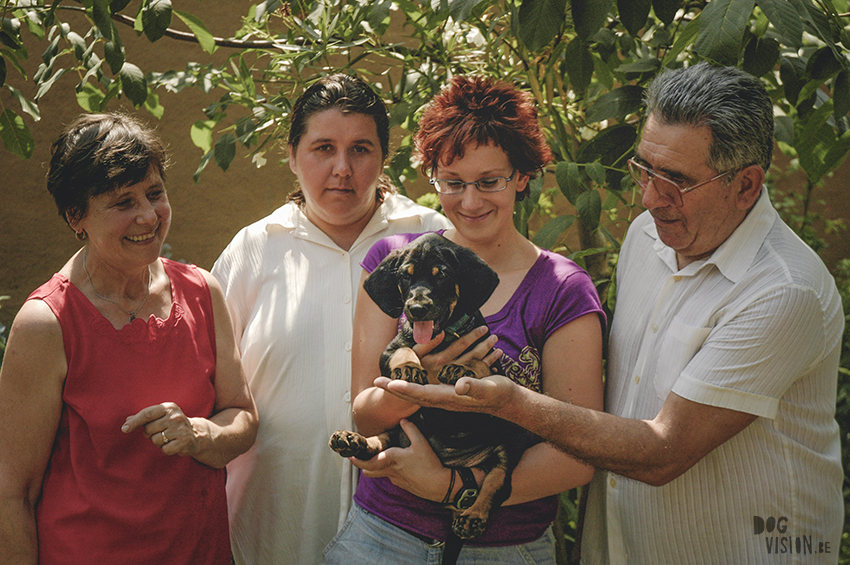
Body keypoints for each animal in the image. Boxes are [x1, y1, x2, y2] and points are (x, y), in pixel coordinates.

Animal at [328, 231, 532, 552]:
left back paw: (473, 515)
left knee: (498, 481)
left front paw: (461, 367)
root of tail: (454, 462)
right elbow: (404, 351)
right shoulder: (388, 352)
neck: (441, 338)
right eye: (405, 276)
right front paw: (409, 368)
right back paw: (353, 441)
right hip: (402, 426)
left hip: (511, 439)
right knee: (381, 441)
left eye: (443, 275)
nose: (416, 309)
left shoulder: (492, 362)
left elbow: (478, 362)